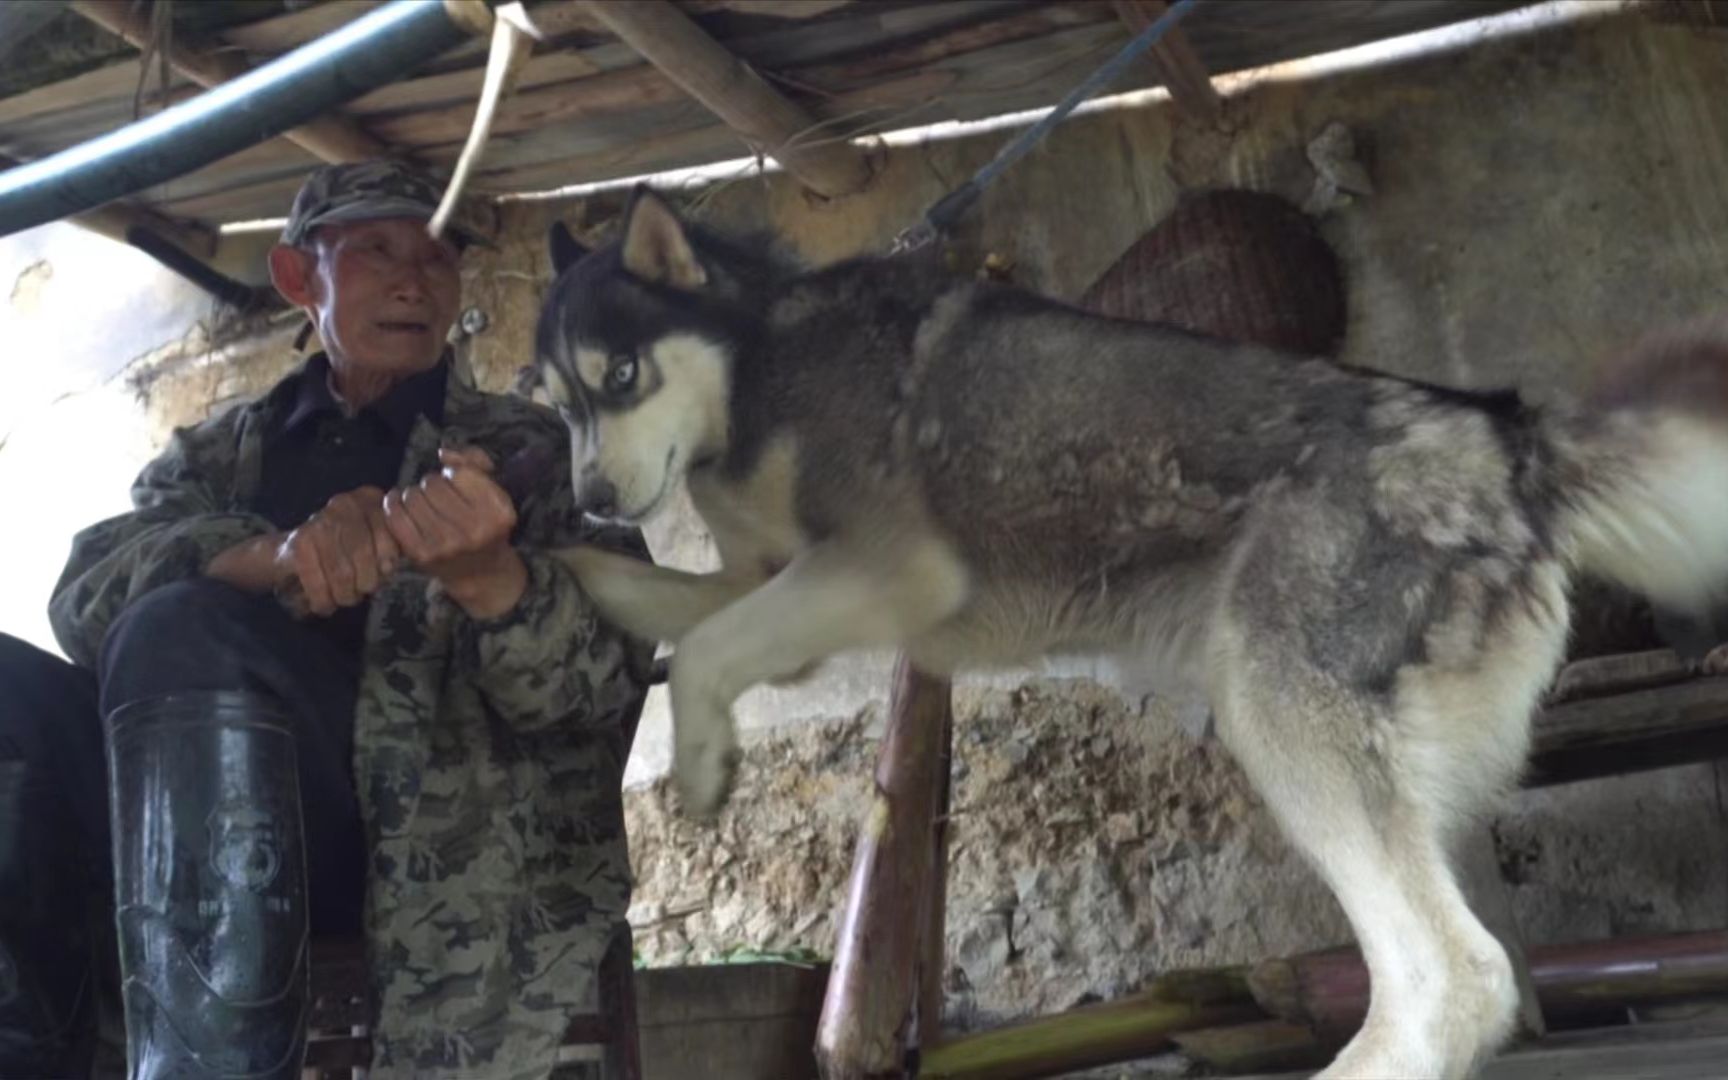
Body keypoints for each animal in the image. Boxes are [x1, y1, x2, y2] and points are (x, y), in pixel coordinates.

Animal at [535, 187, 1728, 1078]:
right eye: (556, 404)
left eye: (622, 375)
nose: (589, 494)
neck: (756, 370)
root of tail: (1508, 441)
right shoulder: (776, 584)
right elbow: (656, 600)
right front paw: (537, 571)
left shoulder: (885, 568)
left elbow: (704, 651)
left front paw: (699, 764)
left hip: (1276, 706)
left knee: (1456, 973)